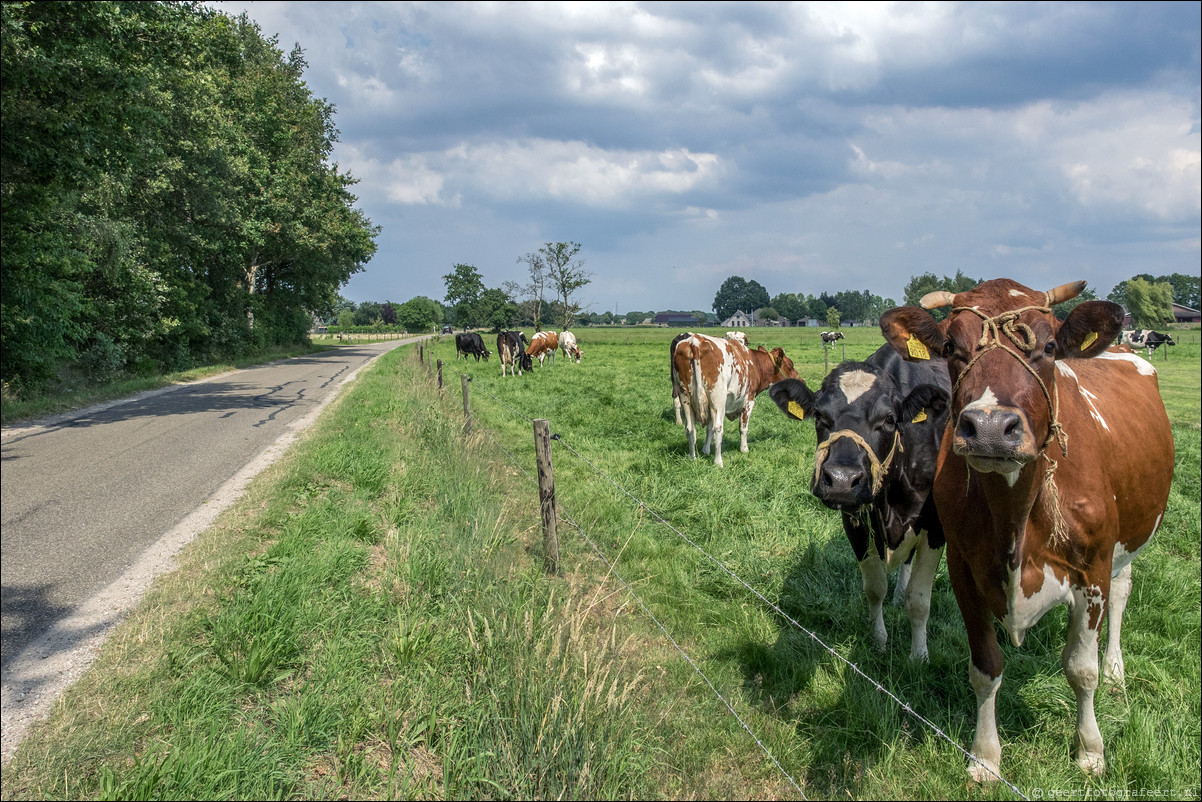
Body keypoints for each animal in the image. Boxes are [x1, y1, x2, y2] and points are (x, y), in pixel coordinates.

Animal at [673, 331, 802, 466]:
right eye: (790, 365)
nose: (802, 381)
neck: (754, 363)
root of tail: (694, 341)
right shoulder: (749, 401)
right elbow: (743, 428)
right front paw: (744, 449)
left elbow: (708, 429)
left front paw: (705, 449)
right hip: (717, 398)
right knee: (718, 428)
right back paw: (718, 462)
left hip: (685, 396)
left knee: (690, 429)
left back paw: (692, 458)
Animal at [769, 341, 956, 663]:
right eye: (819, 416)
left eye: (889, 419)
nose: (842, 479)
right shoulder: (855, 523)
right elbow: (874, 588)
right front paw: (879, 640)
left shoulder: (935, 528)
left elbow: (919, 600)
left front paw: (919, 656)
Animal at [875, 278, 1173, 779]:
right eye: (951, 347)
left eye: (1049, 346)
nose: (991, 427)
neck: (1015, 518)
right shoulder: (964, 570)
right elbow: (985, 669)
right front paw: (985, 757)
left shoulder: (1093, 569)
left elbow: (1081, 669)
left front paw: (1090, 750)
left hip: (1128, 542)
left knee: (1122, 593)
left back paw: (1116, 667)